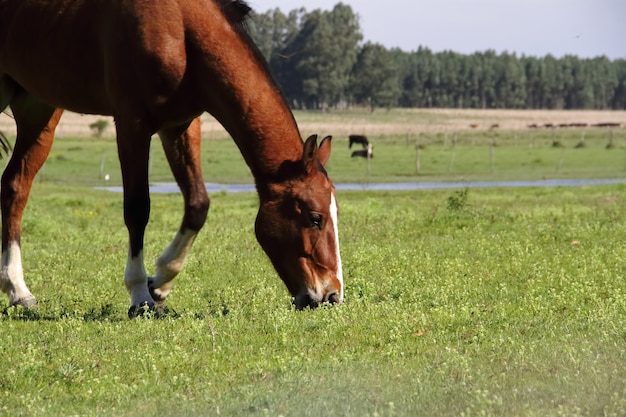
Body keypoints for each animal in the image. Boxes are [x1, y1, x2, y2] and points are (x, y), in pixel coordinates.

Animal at [0, 0, 342, 312]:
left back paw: (18, 290)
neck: (181, 29)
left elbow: (197, 204)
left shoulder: (180, 126)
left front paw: (160, 283)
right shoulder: (132, 125)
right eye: (314, 217)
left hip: (38, 110)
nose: (332, 295)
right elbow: (137, 208)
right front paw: (140, 293)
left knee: (15, 186)